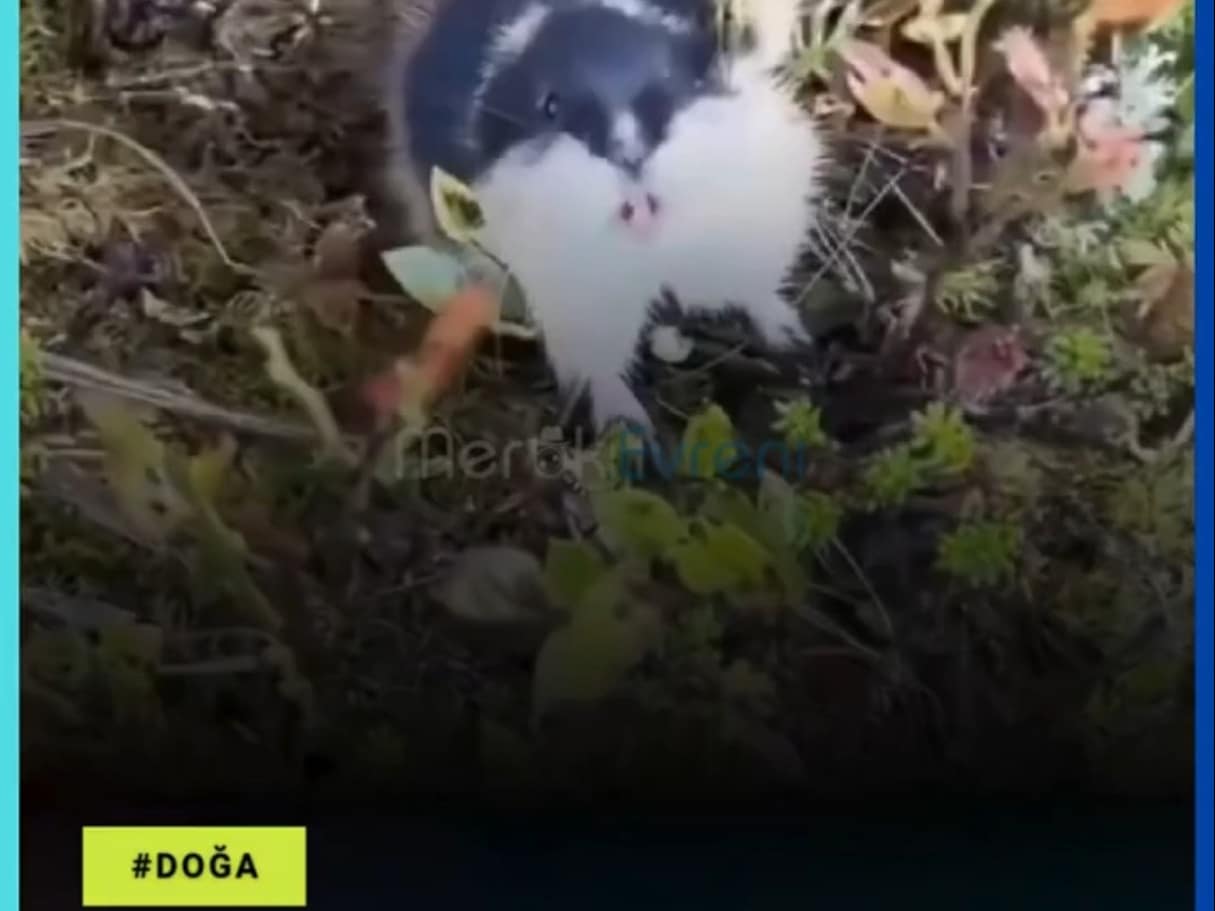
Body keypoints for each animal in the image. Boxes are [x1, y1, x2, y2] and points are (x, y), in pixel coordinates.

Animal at [374, 0, 825, 436]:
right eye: (550, 105)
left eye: (670, 78)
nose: (631, 156)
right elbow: (601, 368)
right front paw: (628, 428)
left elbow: (751, 288)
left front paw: (795, 337)